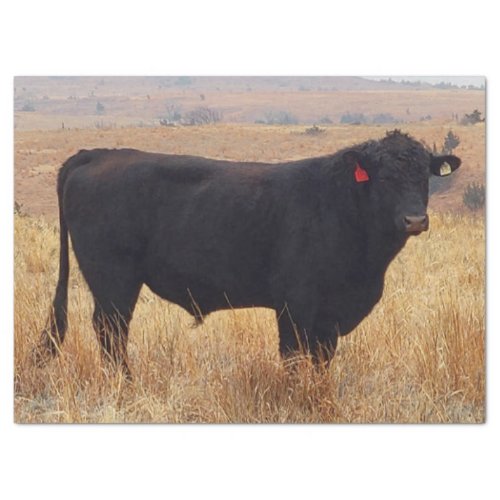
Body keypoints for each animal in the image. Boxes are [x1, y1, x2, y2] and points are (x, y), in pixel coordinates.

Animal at [38, 129, 460, 376]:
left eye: (424, 176)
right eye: (385, 177)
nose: (414, 220)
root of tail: (96, 153)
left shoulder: (329, 318)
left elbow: (321, 362)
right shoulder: (296, 307)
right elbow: (294, 359)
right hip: (114, 281)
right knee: (111, 330)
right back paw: (125, 382)